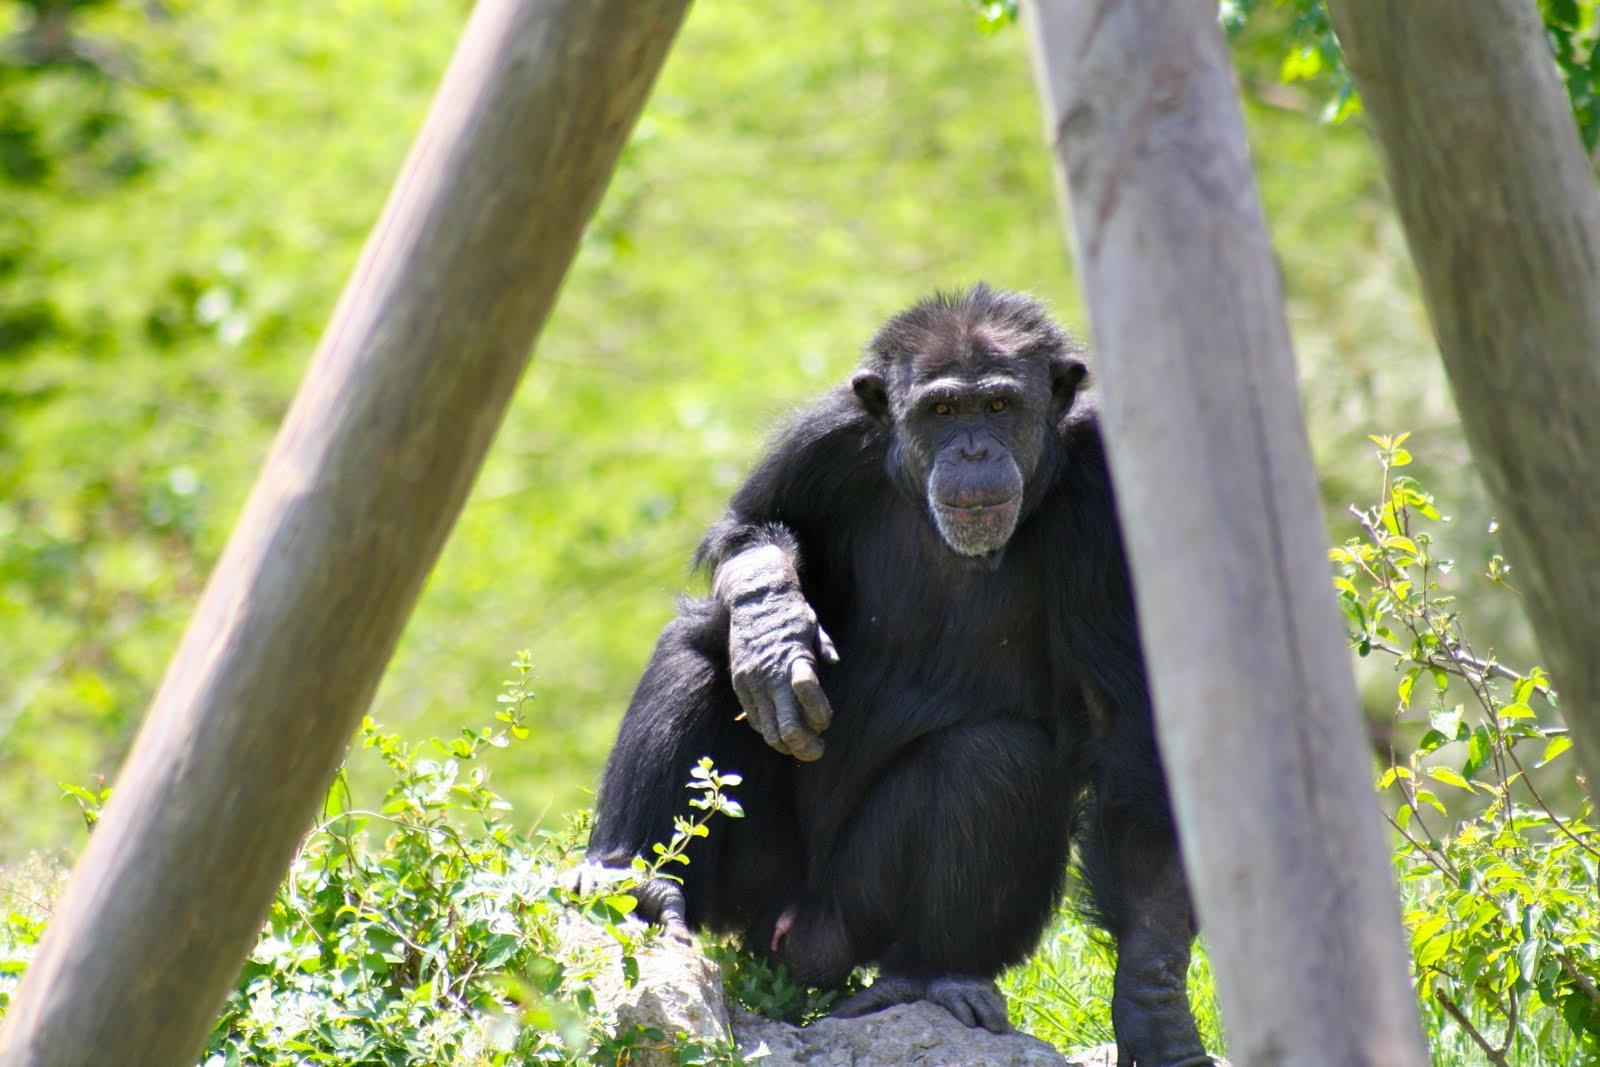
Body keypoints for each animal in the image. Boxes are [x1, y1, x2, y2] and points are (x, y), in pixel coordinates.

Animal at [588, 283, 1209, 1067]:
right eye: (941, 411)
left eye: (999, 406)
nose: (972, 447)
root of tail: (783, 937)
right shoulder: (825, 439)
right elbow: (748, 529)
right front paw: (769, 617)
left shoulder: (1110, 499)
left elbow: (1127, 734)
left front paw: (1154, 1011)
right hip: (751, 882)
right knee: (698, 648)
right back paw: (633, 882)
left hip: (845, 919)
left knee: (994, 756)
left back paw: (931, 975)